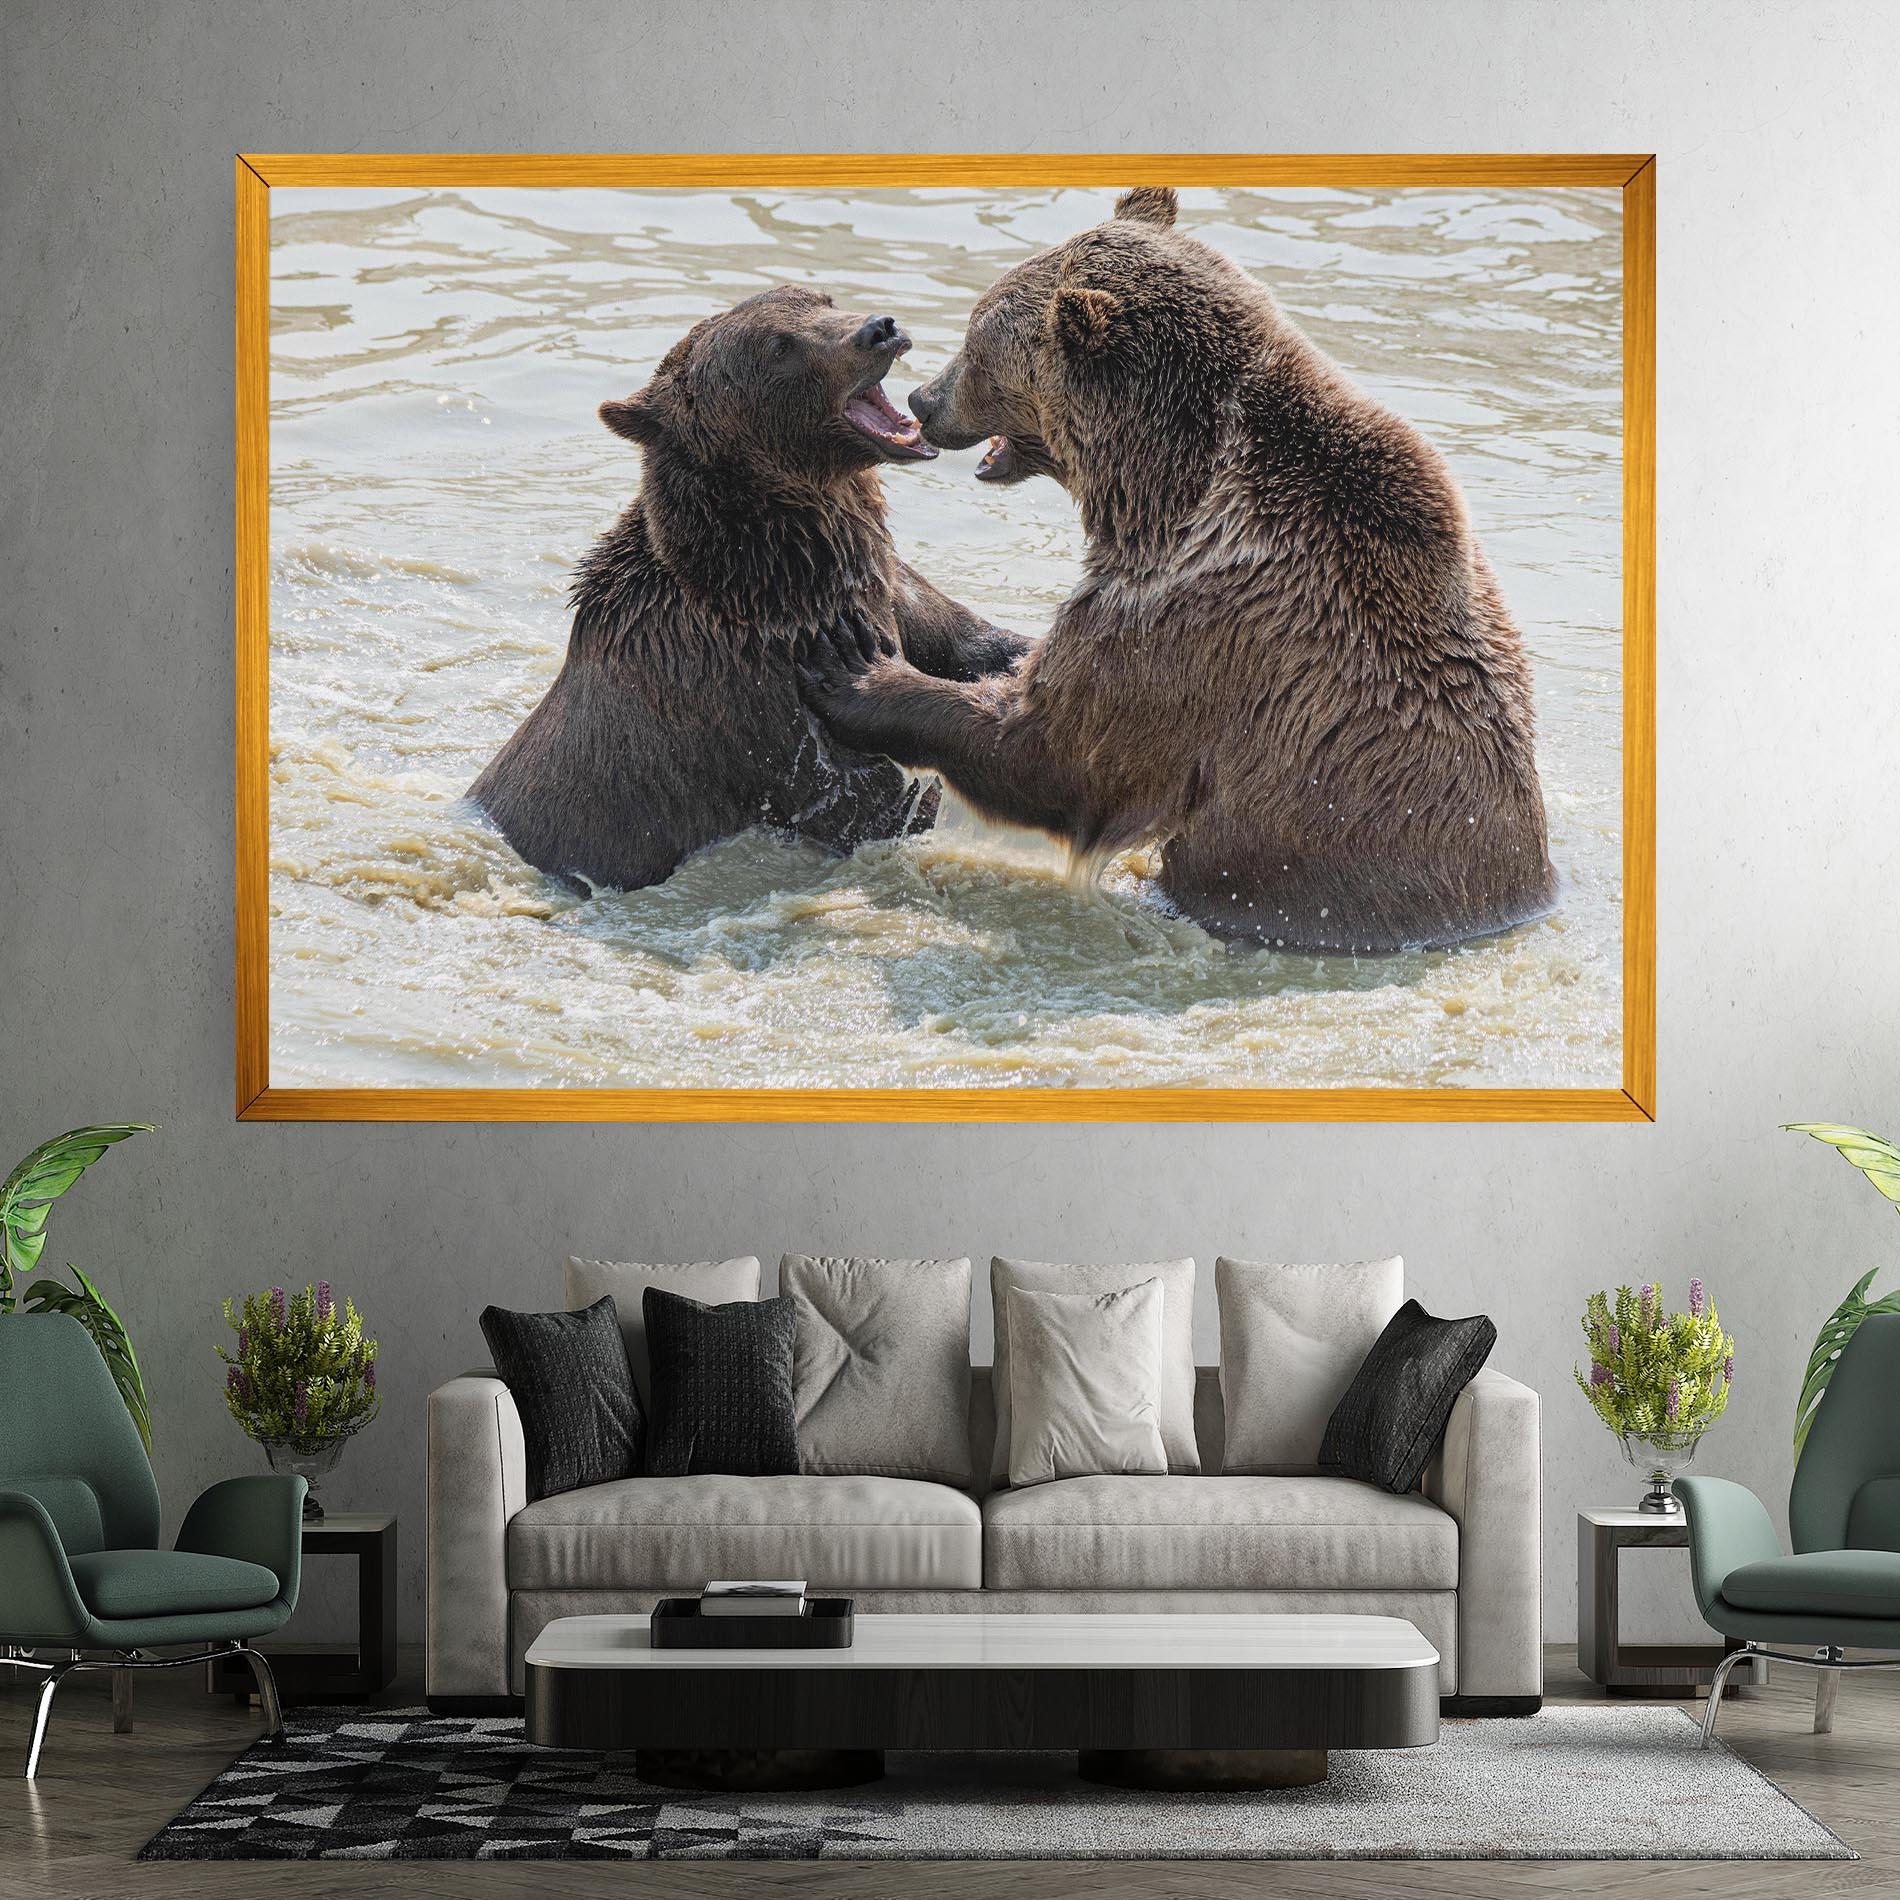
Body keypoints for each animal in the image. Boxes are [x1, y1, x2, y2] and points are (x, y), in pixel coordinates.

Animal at [468, 285, 1029, 894]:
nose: (879, 329)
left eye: (821, 299)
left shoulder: (889, 587)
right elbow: (870, 798)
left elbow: (974, 643)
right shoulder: (758, 699)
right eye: (779, 347)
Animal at [798, 187, 1557, 955]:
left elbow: (1056, 751)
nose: (925, 399)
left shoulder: (1191, 620)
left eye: (978, 344)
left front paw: (858, 671)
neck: (1161, 490)